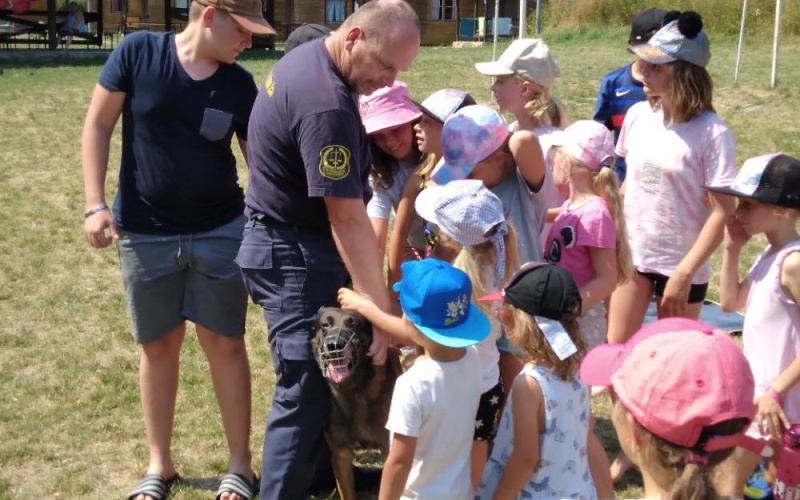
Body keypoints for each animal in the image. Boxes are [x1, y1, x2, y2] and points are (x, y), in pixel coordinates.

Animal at [310, 306, 400, 498]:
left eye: (354, 325)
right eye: (325, 325)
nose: (334, 346)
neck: (354, 390)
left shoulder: (389, 451)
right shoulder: (341, 456)